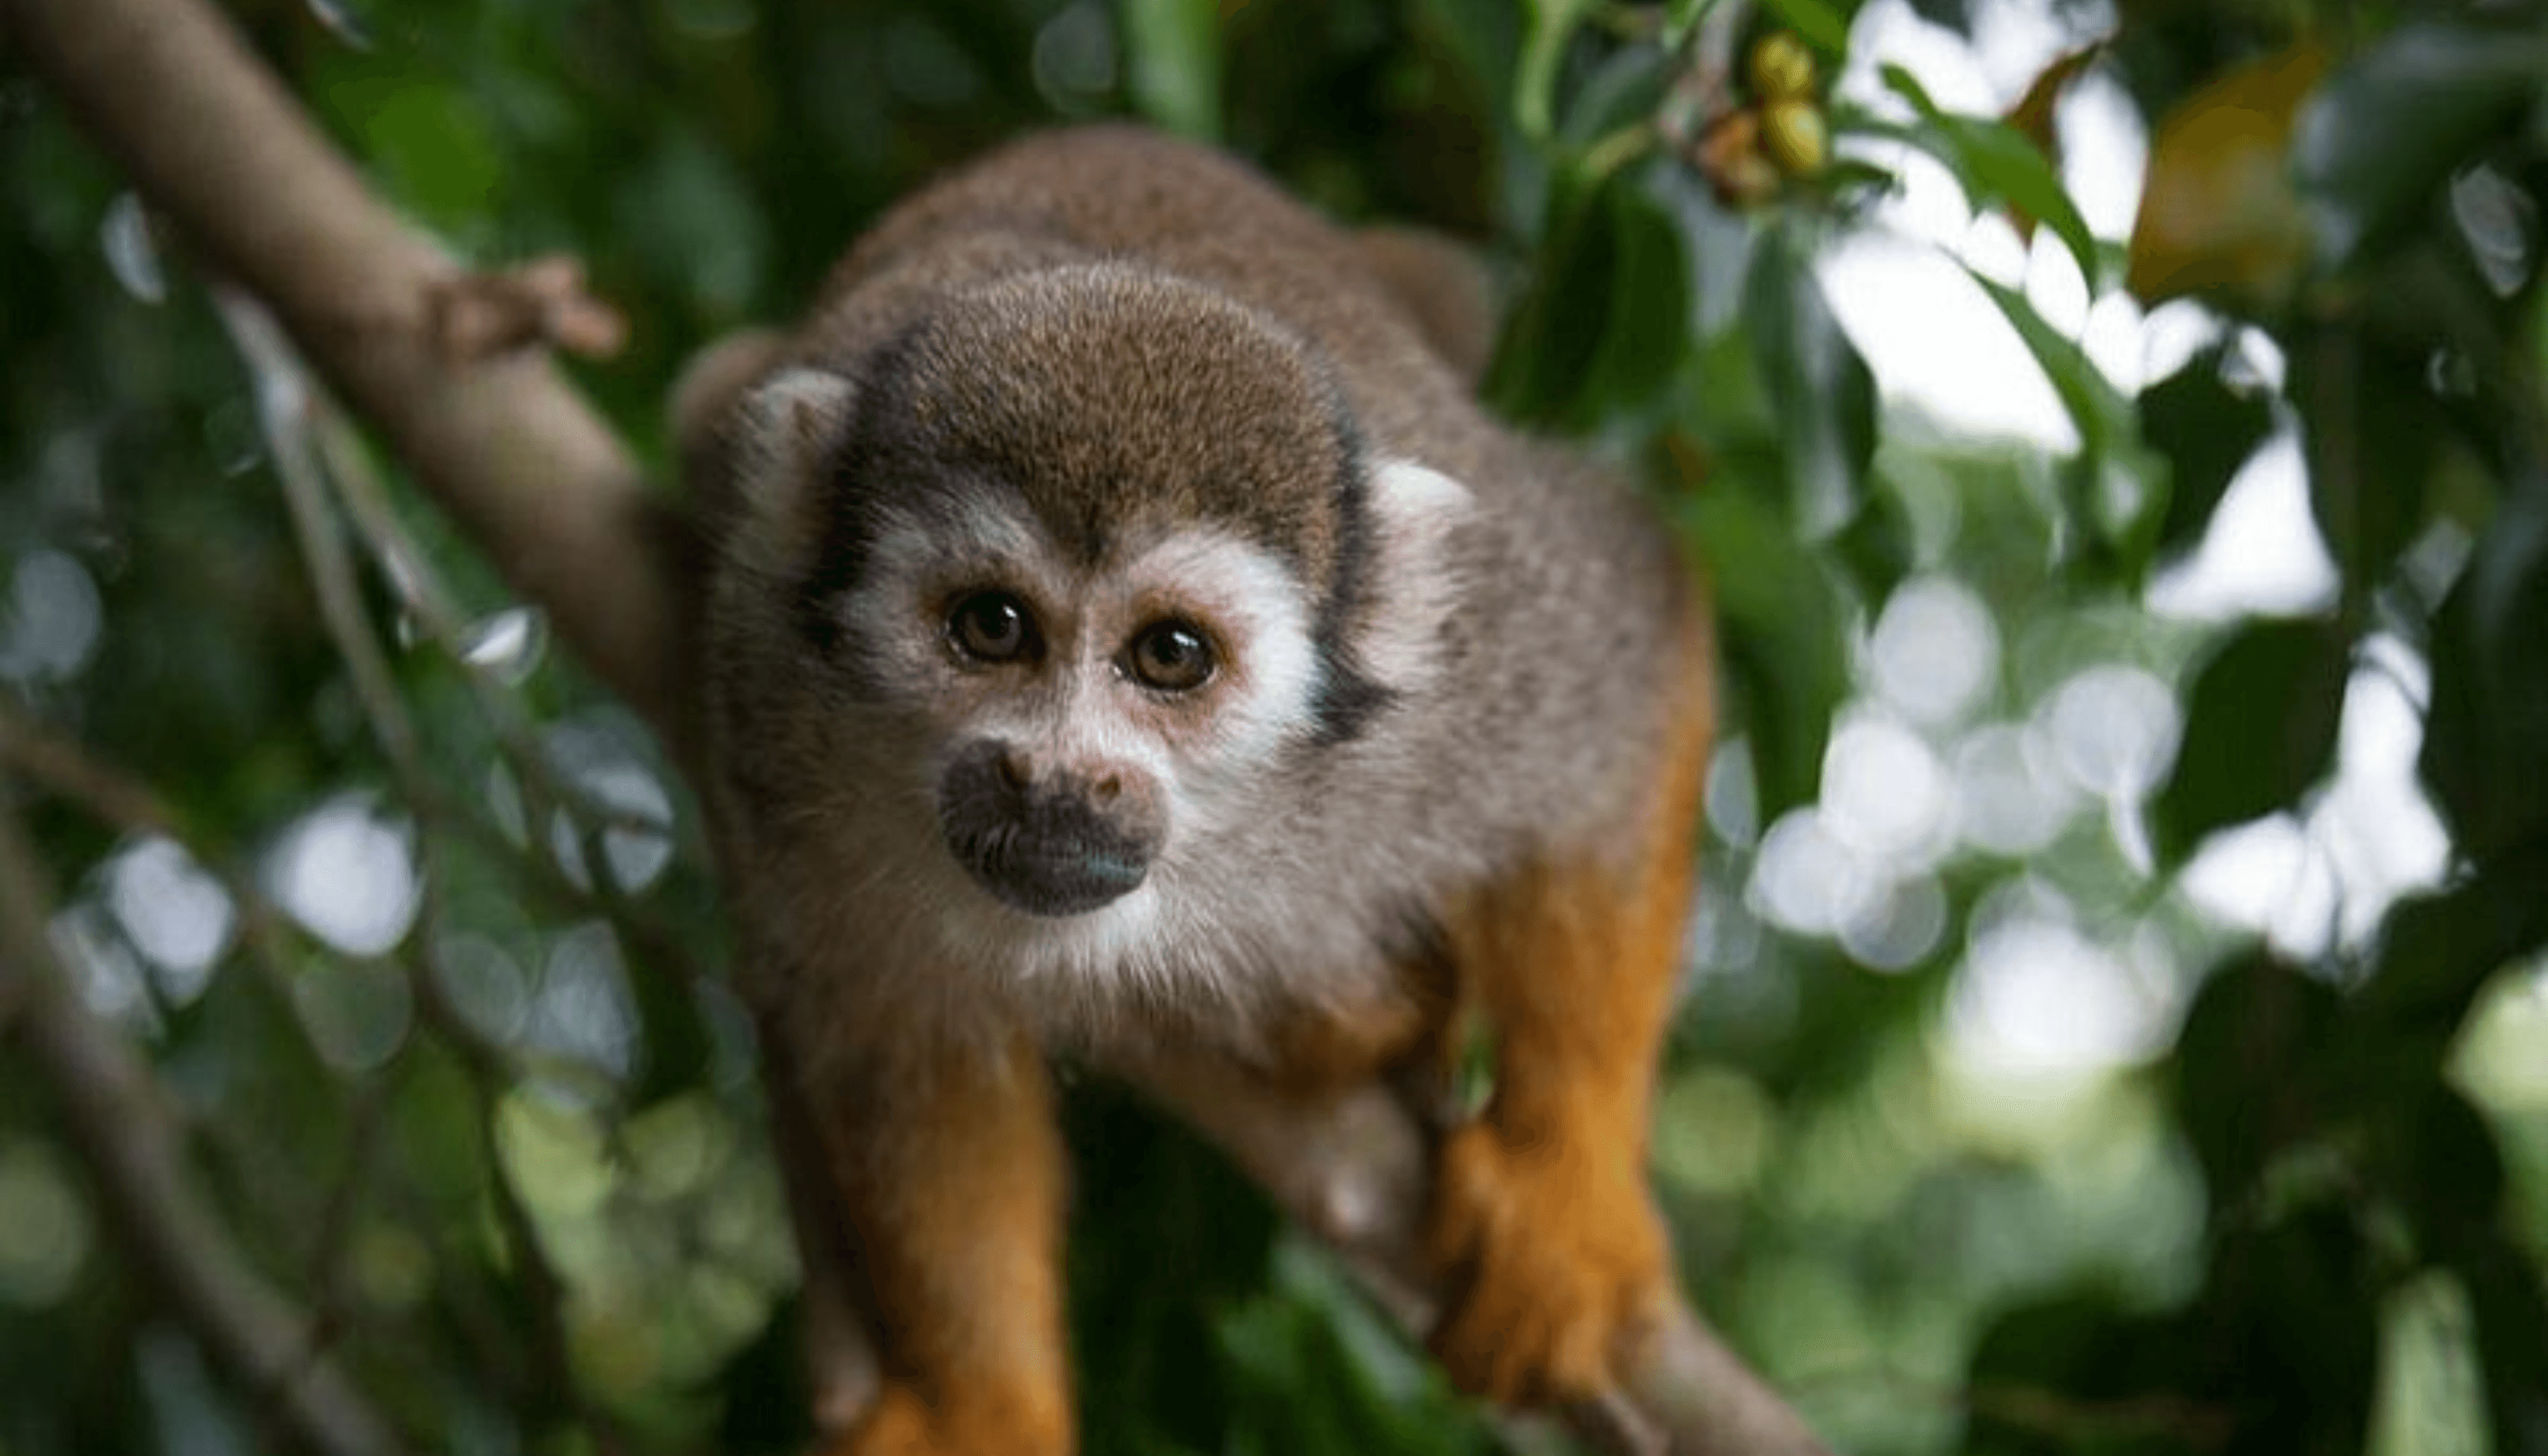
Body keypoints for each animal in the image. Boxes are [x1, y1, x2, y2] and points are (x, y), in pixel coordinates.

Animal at [675, 123, 1715, 1456]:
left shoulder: (1479, 655)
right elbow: (896, 1035)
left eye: (1172, 655)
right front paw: (983, 1404)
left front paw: (1564, 1194)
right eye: (990, 629)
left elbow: (1624, 670)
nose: (1059, 778)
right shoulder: (768, 703)